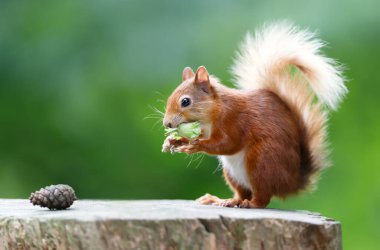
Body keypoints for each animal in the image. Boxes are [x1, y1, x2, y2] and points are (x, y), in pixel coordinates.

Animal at [161, 22, 348, 209]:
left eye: (186, 101)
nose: (167, 124)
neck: (212, 114)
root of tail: (291, 182)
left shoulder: (233, 120)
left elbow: (229, 143)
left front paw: (195, 146)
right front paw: (173, 141)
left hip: (261, 161)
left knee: (263, 198)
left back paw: (250, 204)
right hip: (232, 173)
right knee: (241, 193)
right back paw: (224, 200)